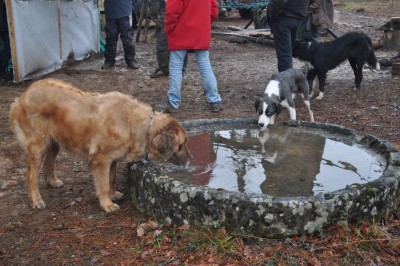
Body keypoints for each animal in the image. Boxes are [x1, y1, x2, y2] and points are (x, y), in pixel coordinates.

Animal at [8, 78, 191, 212]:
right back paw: (36, 200)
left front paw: (113, 194)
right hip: (37, 146)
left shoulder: (113, 159)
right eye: (182, 145)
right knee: (31, 175)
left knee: (49, 162)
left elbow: (111, 178)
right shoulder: (100, 159)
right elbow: (102, 183)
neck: (137, 125)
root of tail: (23, 95)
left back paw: (52, 181)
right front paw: (107, 203)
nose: (191, 158)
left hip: (54, 143)